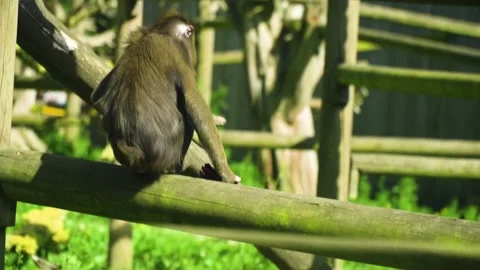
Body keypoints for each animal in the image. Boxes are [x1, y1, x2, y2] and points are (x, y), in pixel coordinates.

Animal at [90, 13, 240, 186]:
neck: (161, 33)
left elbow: (96, 95)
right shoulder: (178, 56)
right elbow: (195, 106)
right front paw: (227, 175)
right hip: (171, 152)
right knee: (187, 120)